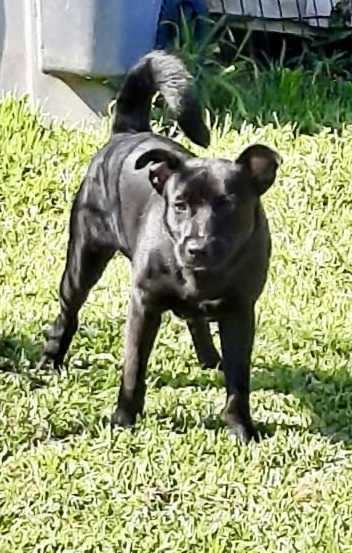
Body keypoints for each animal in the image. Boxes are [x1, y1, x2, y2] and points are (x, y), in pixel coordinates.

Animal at [38, 49, 280, 442]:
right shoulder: (144, 305)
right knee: (68, 313)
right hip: (83, 260)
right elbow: (134, 369)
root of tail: (128, 132)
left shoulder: (240, 312)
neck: (201, 276)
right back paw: (51, 358)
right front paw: (124, 419)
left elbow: (238, 381)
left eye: (228, 204)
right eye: (179, 204)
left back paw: (209, 357)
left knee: (197, 322)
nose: (196, 247)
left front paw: (241, 428)